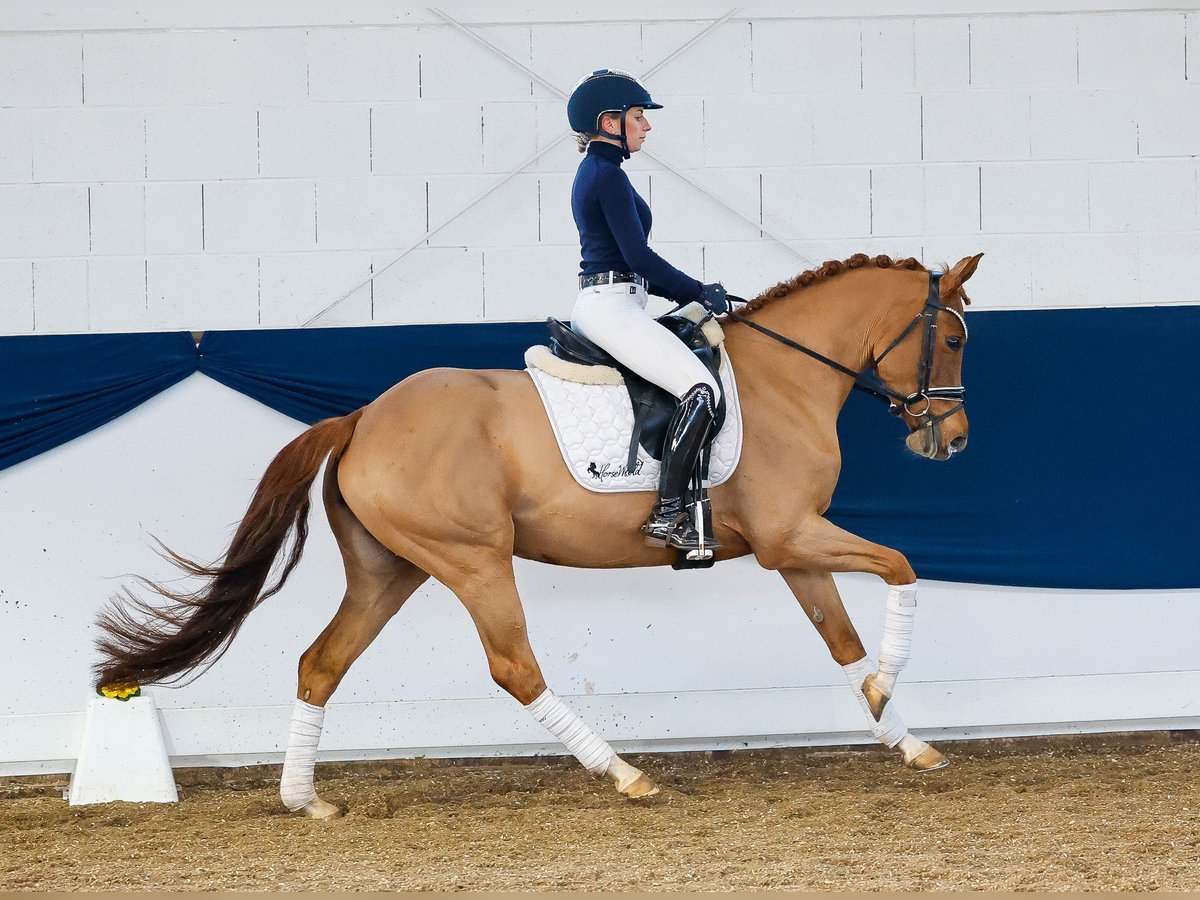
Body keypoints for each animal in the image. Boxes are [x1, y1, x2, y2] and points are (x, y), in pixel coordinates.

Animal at [91, 252, 974, 816]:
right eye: (958, 338)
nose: (954, 441)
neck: (782, 380)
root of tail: (363, 417)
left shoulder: (790, 550)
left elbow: (841, 639)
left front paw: (903, 735)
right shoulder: (791, 538)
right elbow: (901, 567)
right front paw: (889, 692)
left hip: (389, 571)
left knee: (321, 663)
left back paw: (304, 800)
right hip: (473, 561)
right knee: (514, 667)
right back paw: (624, 775)